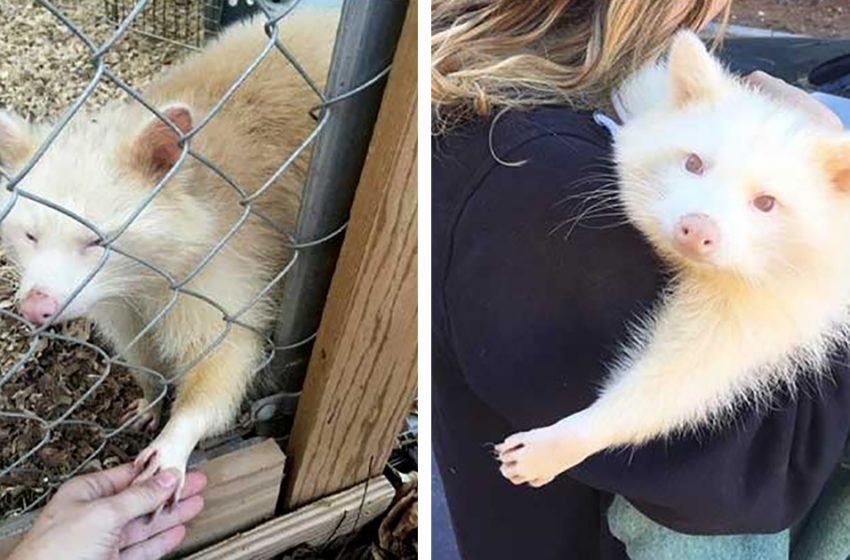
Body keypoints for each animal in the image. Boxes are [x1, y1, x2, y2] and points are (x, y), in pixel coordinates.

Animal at [0, 5, 338, 504]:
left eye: (96, 241)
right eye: (30, 236)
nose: (35, 308)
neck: (139, 277)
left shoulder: (220, 258)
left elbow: (226, 356)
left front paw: (181, 430)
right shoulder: (120, 301)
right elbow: (137, 348)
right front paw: (151, 393)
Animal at [494, 31, 848, 486]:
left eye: (767, 202)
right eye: (693, 163)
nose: (696, 230)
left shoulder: (785, 296)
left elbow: (691, 372)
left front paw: (571, 437)